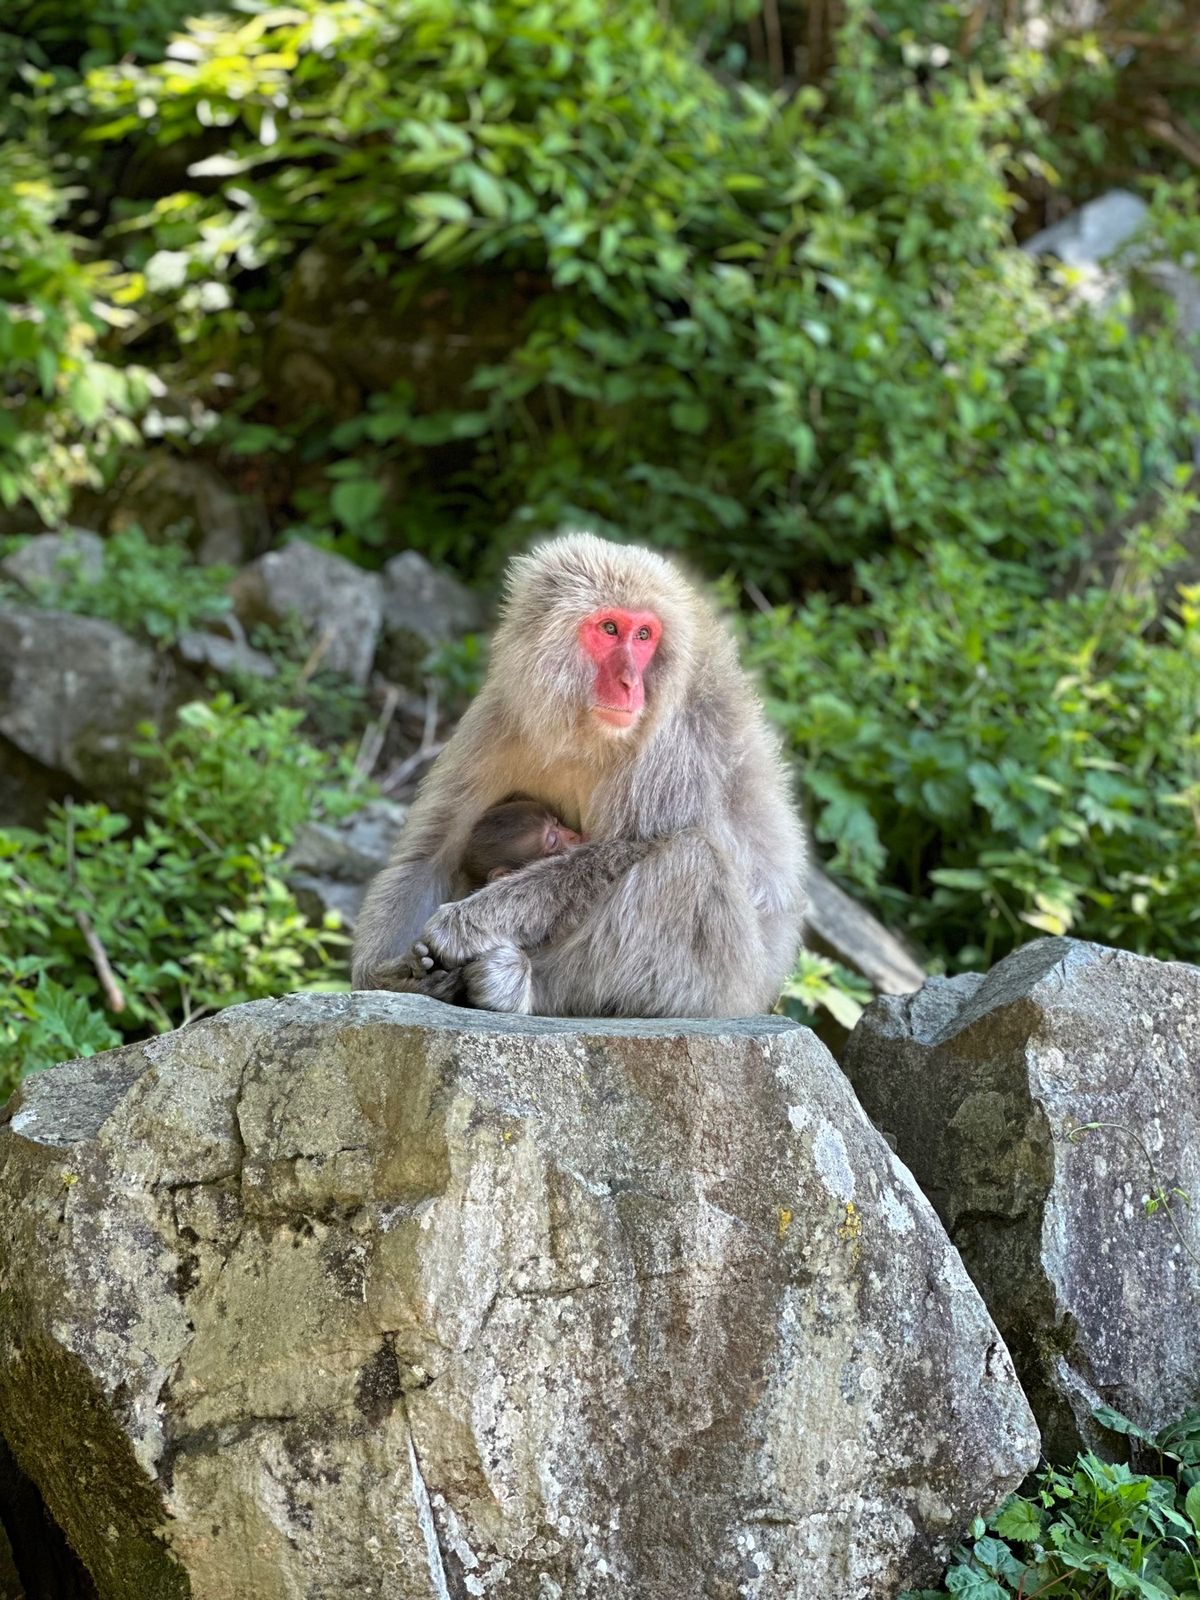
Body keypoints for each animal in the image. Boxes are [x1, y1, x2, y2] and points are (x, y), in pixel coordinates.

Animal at [351, 531, 806, 1017]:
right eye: (609, 629)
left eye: (643, 635)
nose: (631, 684)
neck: (588, 733)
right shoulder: (502, 714)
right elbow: (432, 851)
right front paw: (387, 974)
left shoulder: (675, 746)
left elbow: (630, 848)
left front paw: (466, 924)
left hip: (727, 988)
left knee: (690, 862)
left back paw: (522, 983)